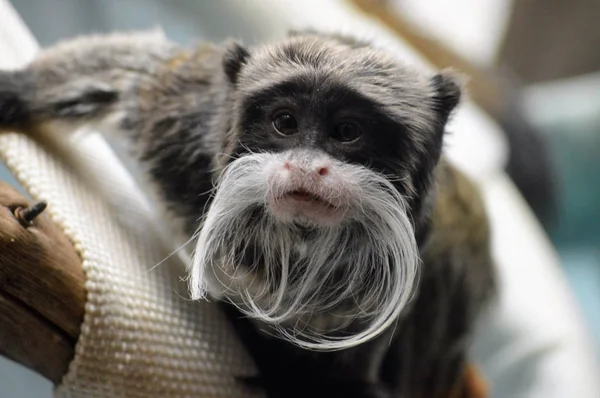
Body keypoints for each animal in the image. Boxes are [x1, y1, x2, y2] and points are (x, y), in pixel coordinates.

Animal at [0, 29, 496, 396]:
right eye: (285, 122)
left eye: (347, 131)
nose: (306, 166)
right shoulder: (180, 123)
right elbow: (137, 73)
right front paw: (15, 89)